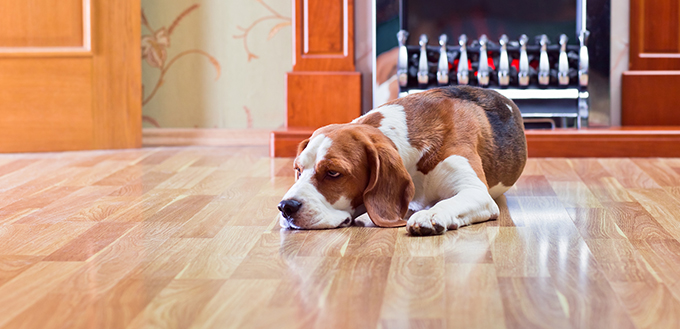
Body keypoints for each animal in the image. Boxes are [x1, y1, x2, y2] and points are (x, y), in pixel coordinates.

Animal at [276, 84, 524, 233]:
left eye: (333, 172)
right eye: (298, 170)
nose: (285, 207)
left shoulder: (476, 192)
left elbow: (449, 201)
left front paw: (432, 214)